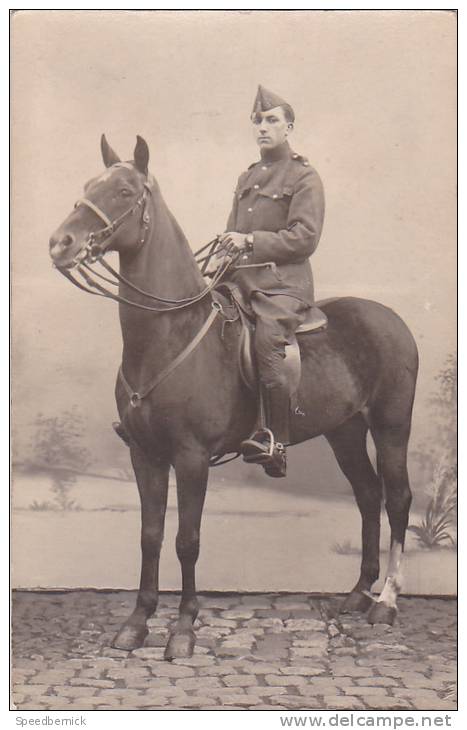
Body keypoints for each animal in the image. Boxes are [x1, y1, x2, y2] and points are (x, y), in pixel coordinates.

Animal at [49, 134, 418, 656]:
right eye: (87, 185)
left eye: (123, 191)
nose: (60, 243)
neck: (170, 334)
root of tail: (391, 318)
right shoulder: (145, 454)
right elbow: (150, 535)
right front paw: (137, 622)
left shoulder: (191, 457)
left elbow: (187, 539)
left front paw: (183, 629)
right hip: (344, 431)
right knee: (367, 495)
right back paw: (357, 593)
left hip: (391, 426)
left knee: (398, 498)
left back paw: (386, 601)